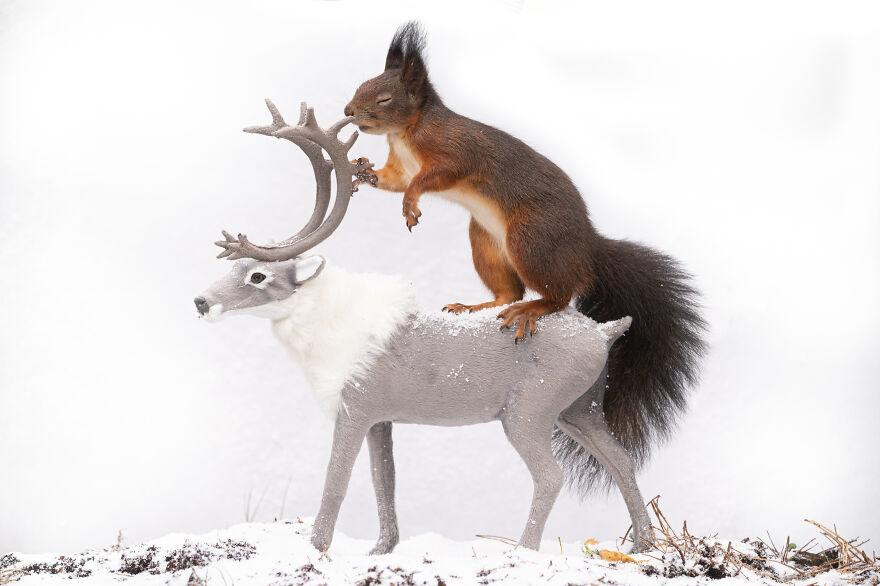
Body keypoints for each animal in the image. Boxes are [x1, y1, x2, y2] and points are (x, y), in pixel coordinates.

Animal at [344, 22, 706, 485]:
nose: (348, 110)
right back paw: (475, 306)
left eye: (384, 98)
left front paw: (410, 203)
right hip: (486, 242)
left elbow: (430, 179)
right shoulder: (401, 165)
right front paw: (362, 169)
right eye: (363, 86)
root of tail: (587, 249)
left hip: (531, 240)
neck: (407, 132)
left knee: (557, 295)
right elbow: (392, 180)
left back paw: (533, 310)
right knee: (508, 292)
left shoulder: (456, 152)